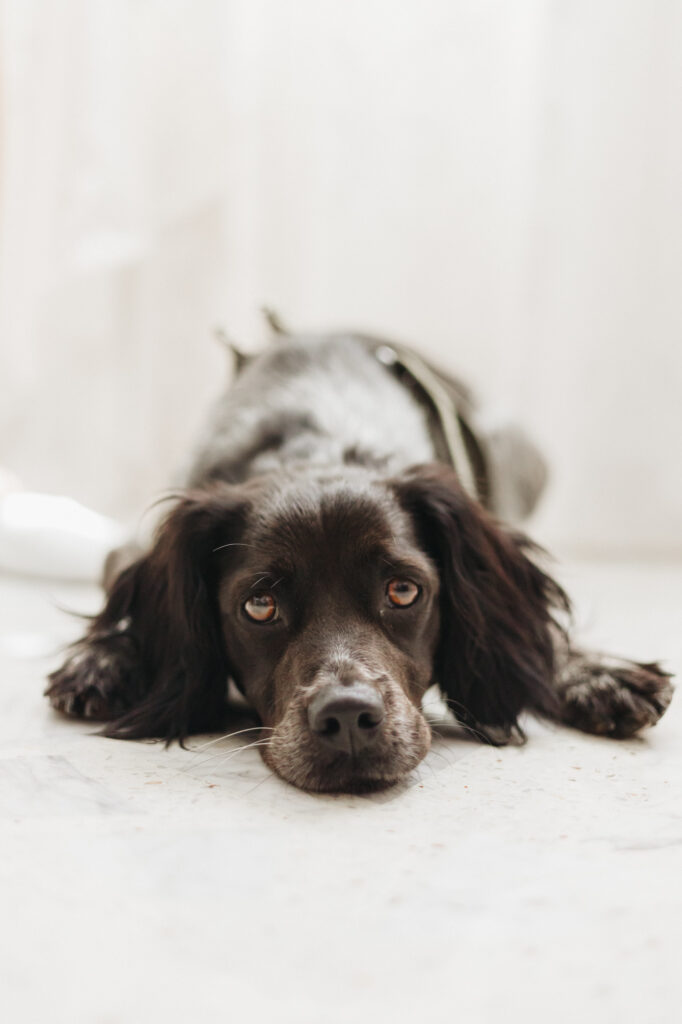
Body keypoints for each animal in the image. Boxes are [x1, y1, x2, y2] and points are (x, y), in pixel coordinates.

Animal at [45, 319, 671, 790]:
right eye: (259, 606)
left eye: (404, 591)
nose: (347, 717)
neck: (319, 440)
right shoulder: (131, 545)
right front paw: (103, 661)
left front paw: (594, 672)